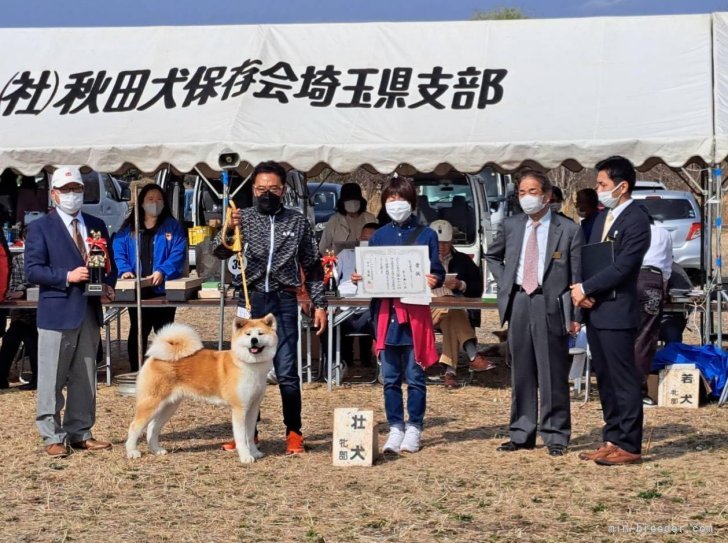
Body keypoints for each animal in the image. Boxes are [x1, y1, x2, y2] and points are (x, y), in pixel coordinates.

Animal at [125, 314, 276, 464]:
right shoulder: (239, 409)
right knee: (134, 426)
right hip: (152, 403)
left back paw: (156, 450)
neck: (249, 365)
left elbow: (249, 435)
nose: (254, 340)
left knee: (152, 428)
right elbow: (241, 437)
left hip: (169, 406)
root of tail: (154, 357)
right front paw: (245, 456)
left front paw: (255, 453)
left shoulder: (253, 407)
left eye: (260, 333)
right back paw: (132, 452)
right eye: (248, 334)